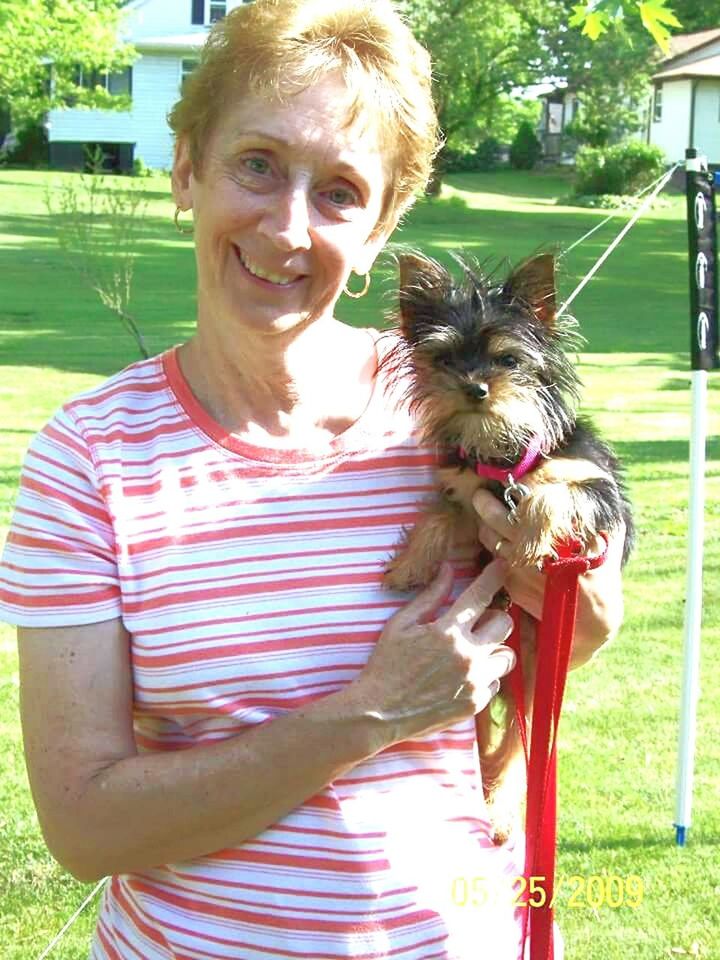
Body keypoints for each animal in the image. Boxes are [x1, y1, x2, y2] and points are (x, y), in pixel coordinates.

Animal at [380, 251, 632, 844]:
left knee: (519, 748)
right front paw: (410, 564)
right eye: (446, 357)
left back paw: (498, 809)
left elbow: (556, 493)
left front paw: (534, 536)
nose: (475, 387)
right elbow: (439, 512)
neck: (503, 456)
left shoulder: (596, 487)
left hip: (539, 677)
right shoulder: (464, 492)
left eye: (508, 359)